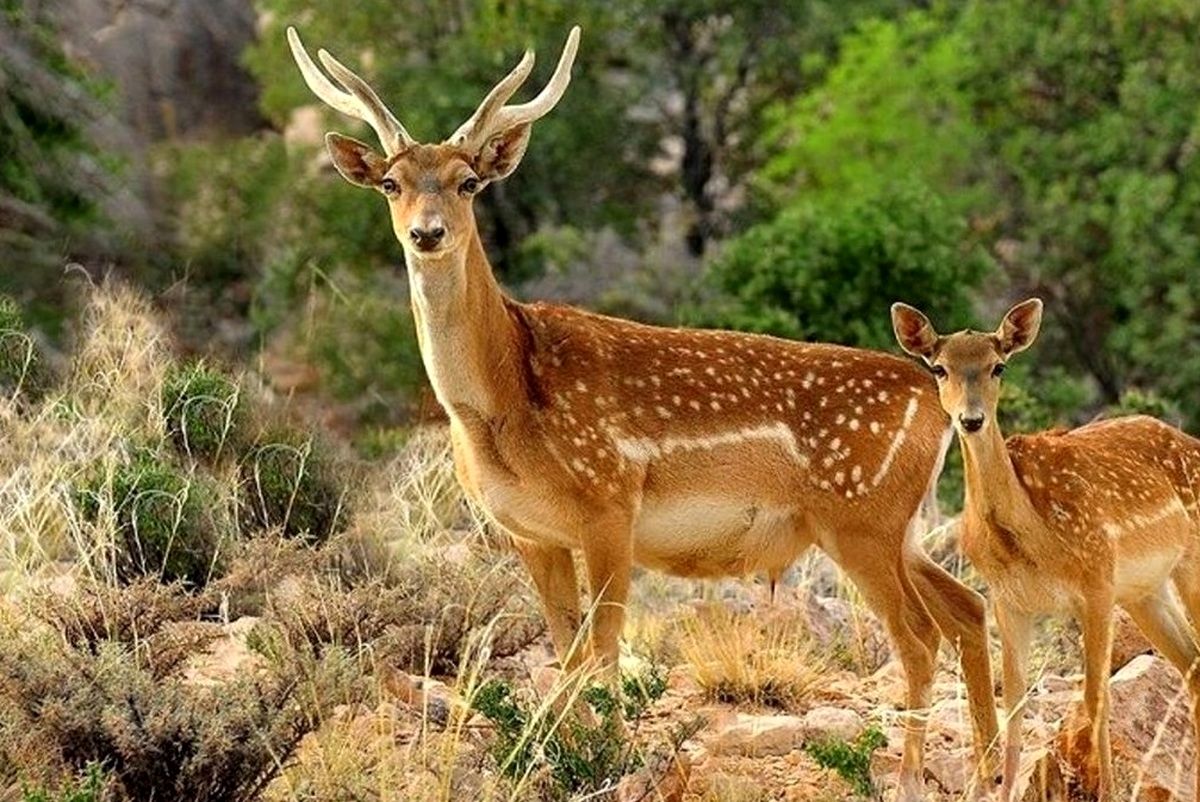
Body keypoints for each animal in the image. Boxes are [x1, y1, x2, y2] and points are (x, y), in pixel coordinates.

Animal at [290, 26, 1003, 802]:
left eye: (467, 181)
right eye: (391, 182)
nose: (427, 233)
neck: (503, 403)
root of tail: (934, 402)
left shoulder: (609, 501)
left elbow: (599, 652)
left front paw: (603, 761)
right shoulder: (530, 533)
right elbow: (566, 647)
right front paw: (567, 759)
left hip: (861, 517)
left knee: (919, 636)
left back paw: (909, 777)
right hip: (899, 526)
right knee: (967, 610)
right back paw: (989, 767)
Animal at [892, 298, 1200, 802]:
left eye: (998, 366)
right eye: (939, 367)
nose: (971, 419)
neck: (1029, 541)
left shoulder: (1096, 583)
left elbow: (1096, 697)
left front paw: (1107, 792)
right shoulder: (1008, 600)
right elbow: (1015, 703)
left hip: (1184, 565)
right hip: (1145, 591)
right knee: (1192, 665)